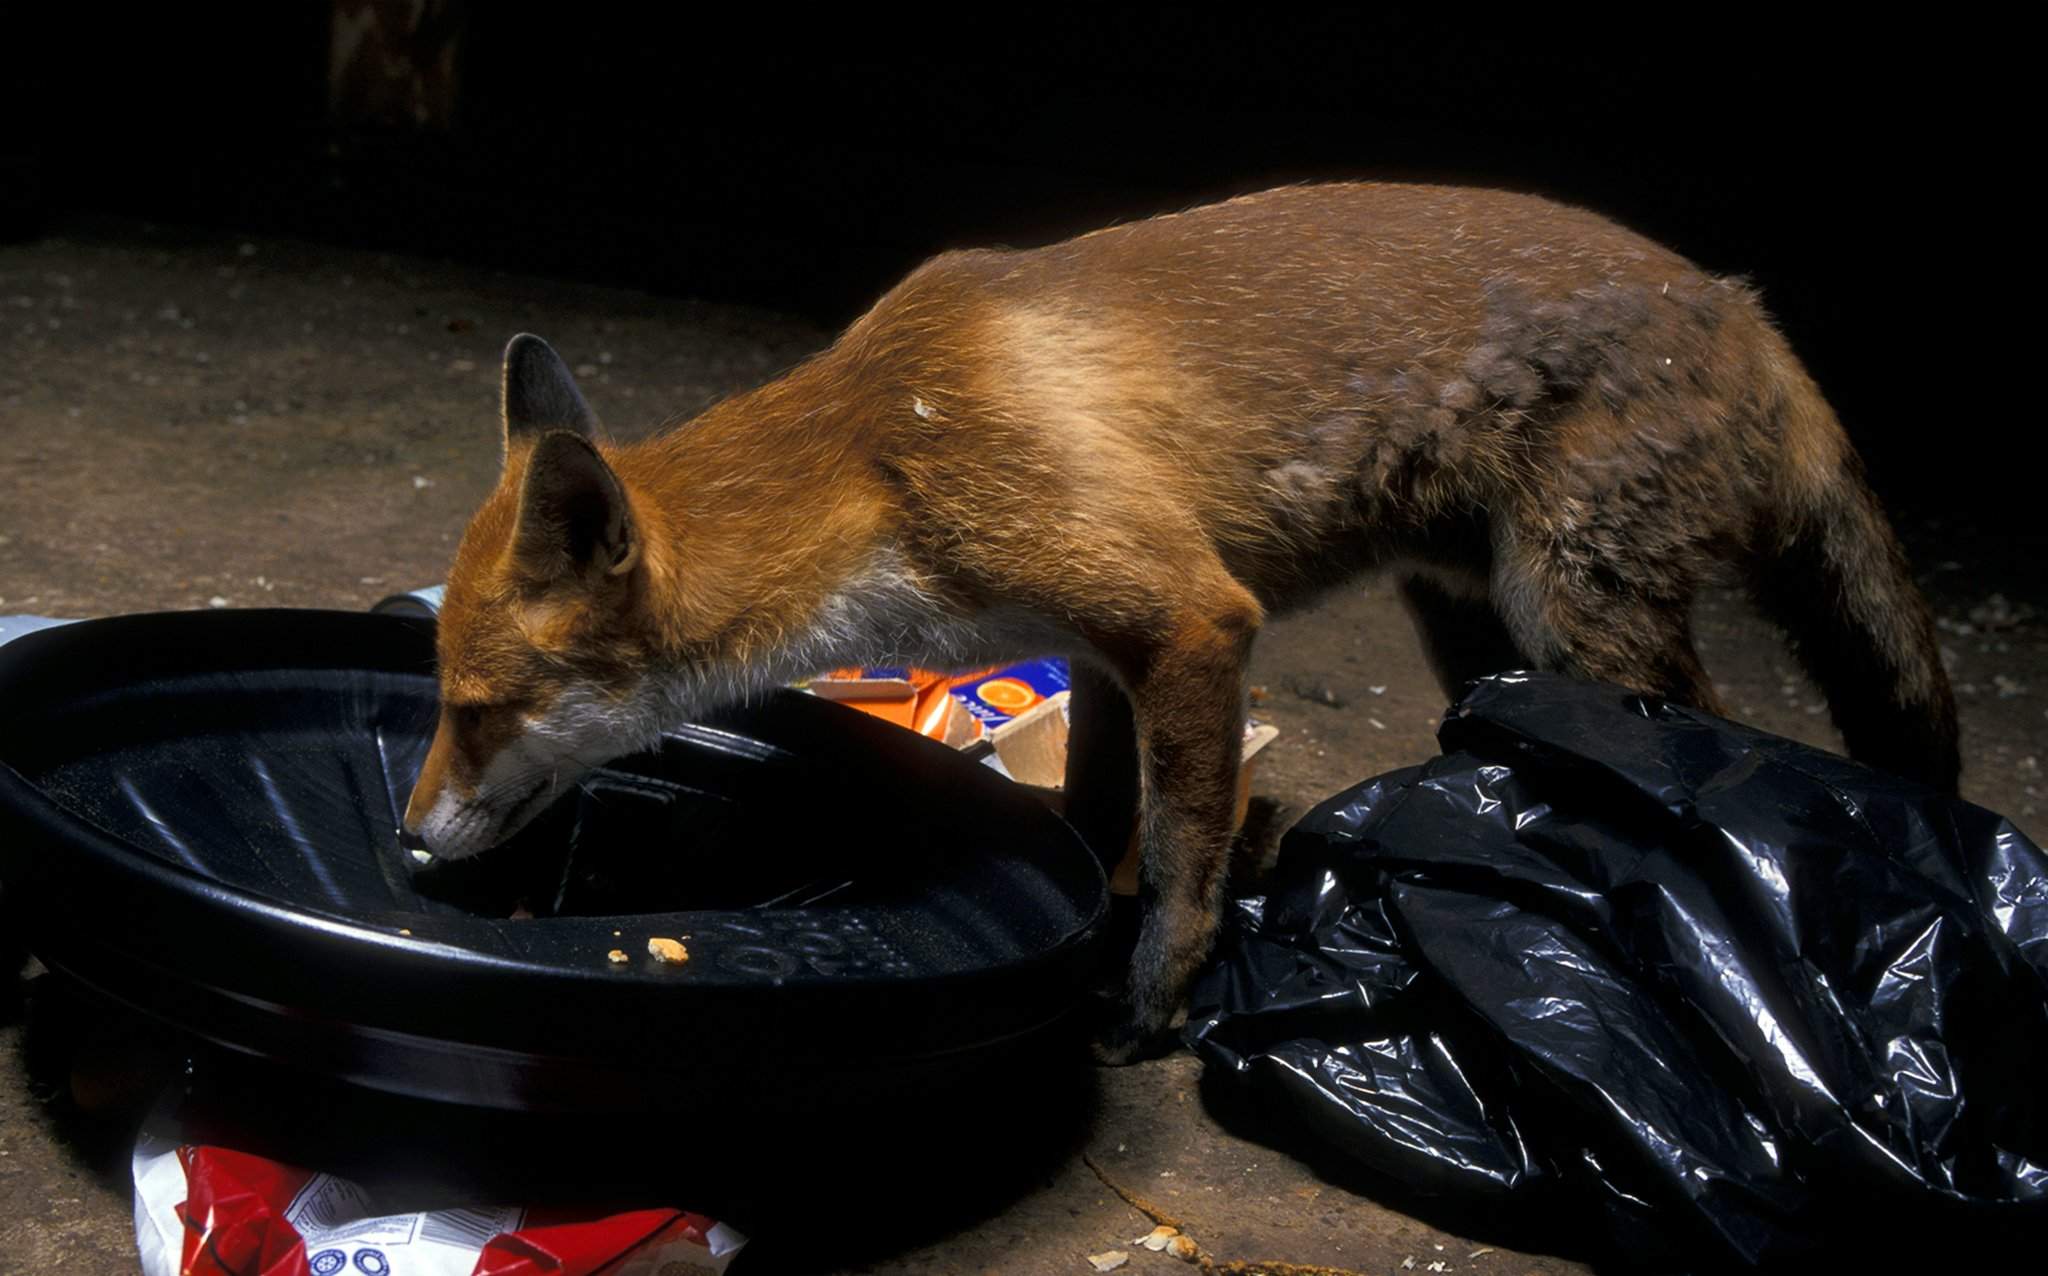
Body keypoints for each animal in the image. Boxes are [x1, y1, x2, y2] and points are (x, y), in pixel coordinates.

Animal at [399, 180, 1949, 1056]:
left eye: (476, 709)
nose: (408, 841)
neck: (881, 454)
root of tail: (1742, 306)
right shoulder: (1100, 651)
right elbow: (1093, 831)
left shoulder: (1193, 619)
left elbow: (1184, 853)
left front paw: (1148, 1009)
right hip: (1473, 616)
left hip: (1576, 609)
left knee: (1699, 739)